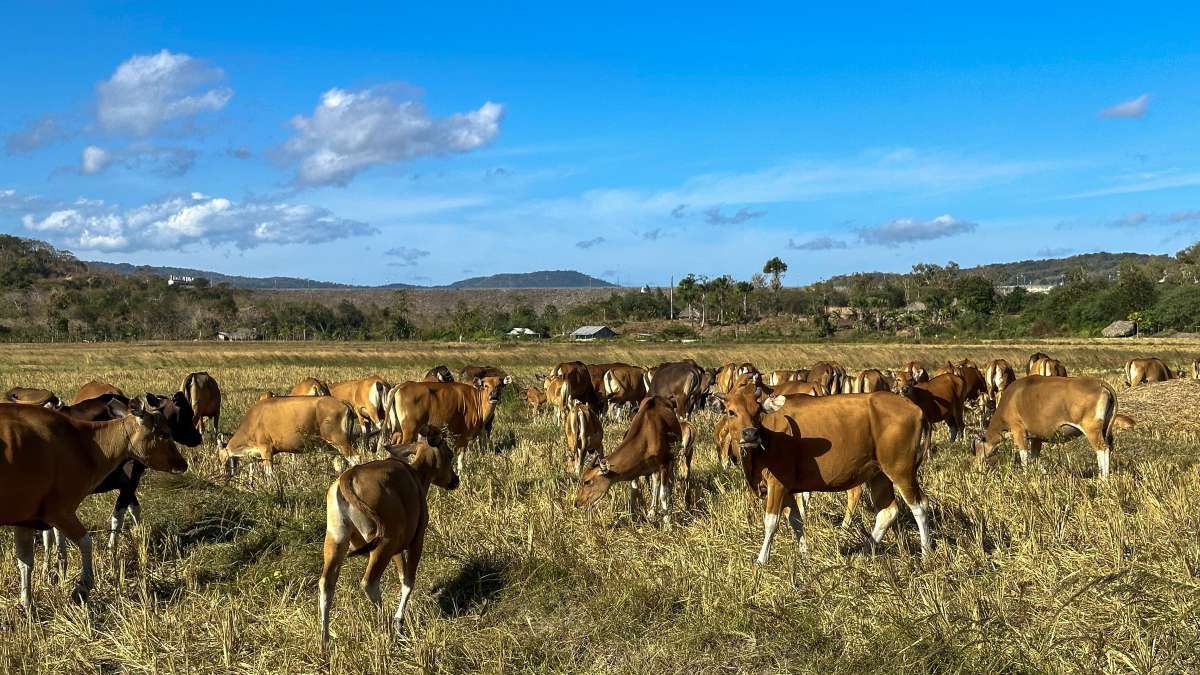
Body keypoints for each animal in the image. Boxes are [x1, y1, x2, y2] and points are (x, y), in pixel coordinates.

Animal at [0, 396, 187, 607]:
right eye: (165, 434)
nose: (183, 463)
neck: (85, 444)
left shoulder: (25, 519)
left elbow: (25, 562)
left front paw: (28, 604)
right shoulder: (60, 511)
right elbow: (86, 542)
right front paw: (83, 587)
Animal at [219, 393, 360, 478]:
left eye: (221, 460)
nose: (221, 477)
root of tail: (343, 402)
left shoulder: (266, 449)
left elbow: (269, 473)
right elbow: (251, 471)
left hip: (340, 441)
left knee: (355, 458)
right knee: (339, 463)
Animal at [316, 432, 456, 643]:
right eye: (450, 454)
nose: (455, 480)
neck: (415, 476)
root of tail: (349, 477)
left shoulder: (396, 548)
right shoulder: (415, 540)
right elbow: (408, 580)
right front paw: (399, 620)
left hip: (336, 539)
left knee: (326, 584)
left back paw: (325, 641)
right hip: (383, 545)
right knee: (369, 583)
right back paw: (387, 625)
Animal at [715, 384, 931, 562]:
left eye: (757, 411)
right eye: (731, 412)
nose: (751, 434)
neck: (770, 435)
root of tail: (916, 409)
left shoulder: (777, 484)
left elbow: (771, 522)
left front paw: (761, 560)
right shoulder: (788, 490)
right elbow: (796, 521)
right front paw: (805, 555)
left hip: (901, 471)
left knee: (919, 506)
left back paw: (926, 553)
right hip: (879, 474)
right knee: (888, 511)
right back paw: (863, 552)